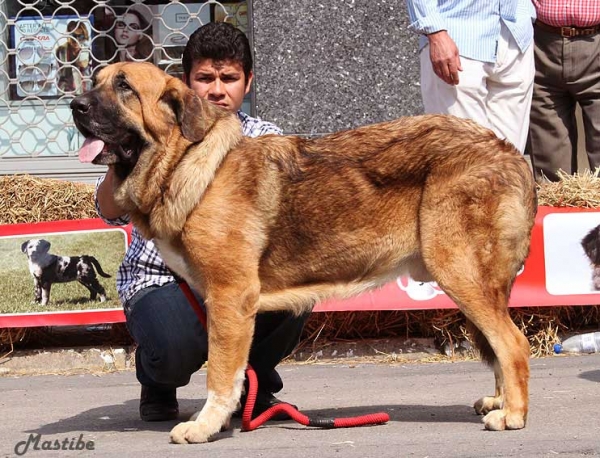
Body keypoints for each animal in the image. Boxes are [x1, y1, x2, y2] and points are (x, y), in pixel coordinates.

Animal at [71, 61, 540, 444]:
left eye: (124, 86)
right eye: (95, 80)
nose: (75, 105)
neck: (187, 161)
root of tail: (507, 150)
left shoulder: (230, 297)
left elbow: (220, 372)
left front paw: (205, 426)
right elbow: (232, 369)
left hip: (461, 274)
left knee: (513, 344)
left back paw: (512, 415)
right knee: (499, 346)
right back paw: (501, 403)